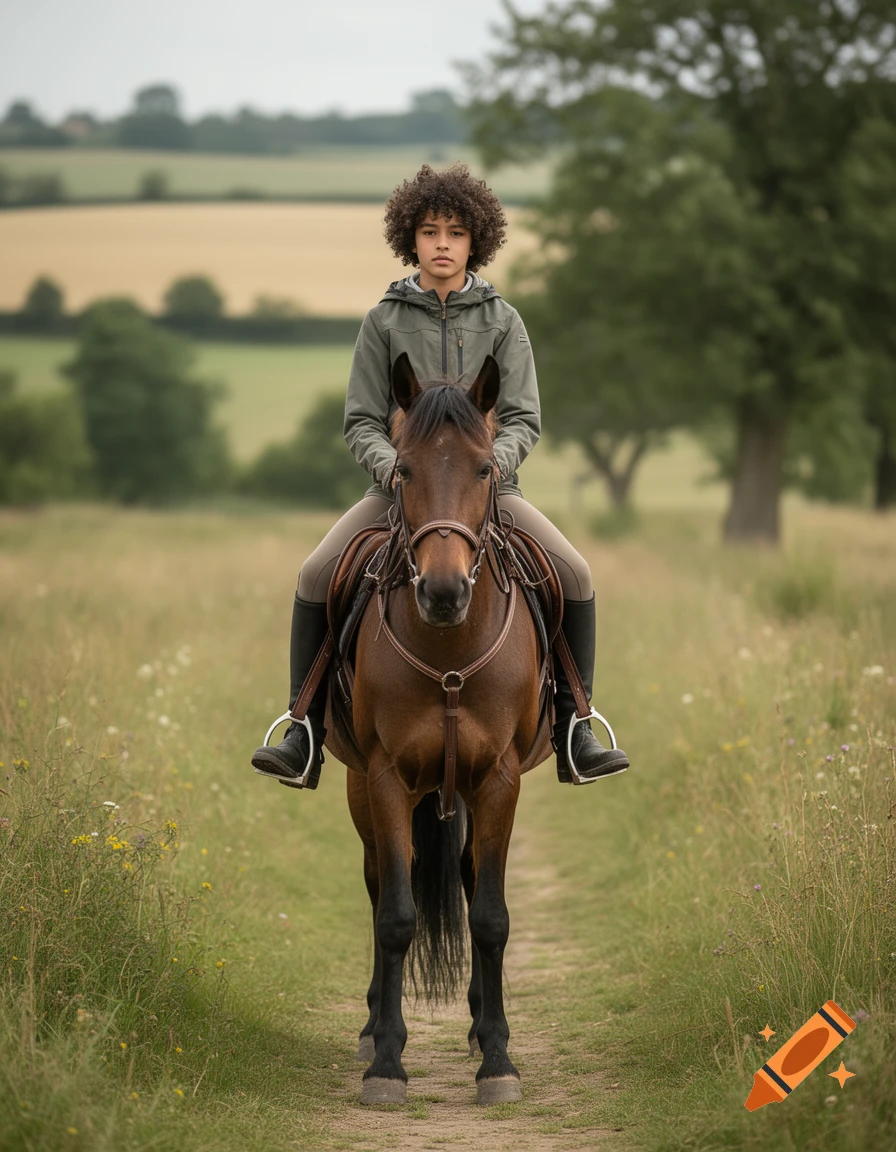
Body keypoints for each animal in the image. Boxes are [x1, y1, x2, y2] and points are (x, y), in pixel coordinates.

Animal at [325, 352, 554, 1106]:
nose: (444, 592)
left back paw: (481, 1027)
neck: (449, 650)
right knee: (378, 884)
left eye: (485, 469)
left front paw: (499, 1061)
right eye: (402, 470)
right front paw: (386, 1064)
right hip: (363, 791)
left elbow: (490, 916)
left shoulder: (500, 780)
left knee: (469, 877)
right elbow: (396, 916)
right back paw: (374, 1027)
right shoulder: (386, 777)